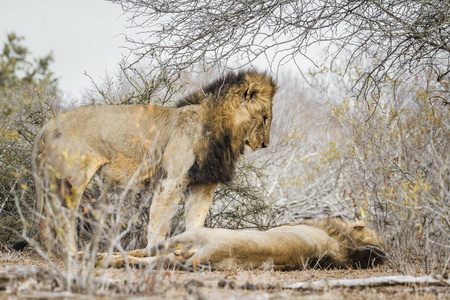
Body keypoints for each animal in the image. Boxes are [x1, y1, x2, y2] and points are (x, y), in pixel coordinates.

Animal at [14, 70, 278, 255]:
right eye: (265, 118)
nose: (266, 144)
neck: (224, 130)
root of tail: (47, 126)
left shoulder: (202, 184)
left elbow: (196, 221)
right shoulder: (171, 180)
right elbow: (159, 222)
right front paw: (153, 253)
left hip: (52, 179)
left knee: (46, 219)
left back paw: (52, 254)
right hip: (72, 178)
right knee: (63, 217)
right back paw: (71, 253)